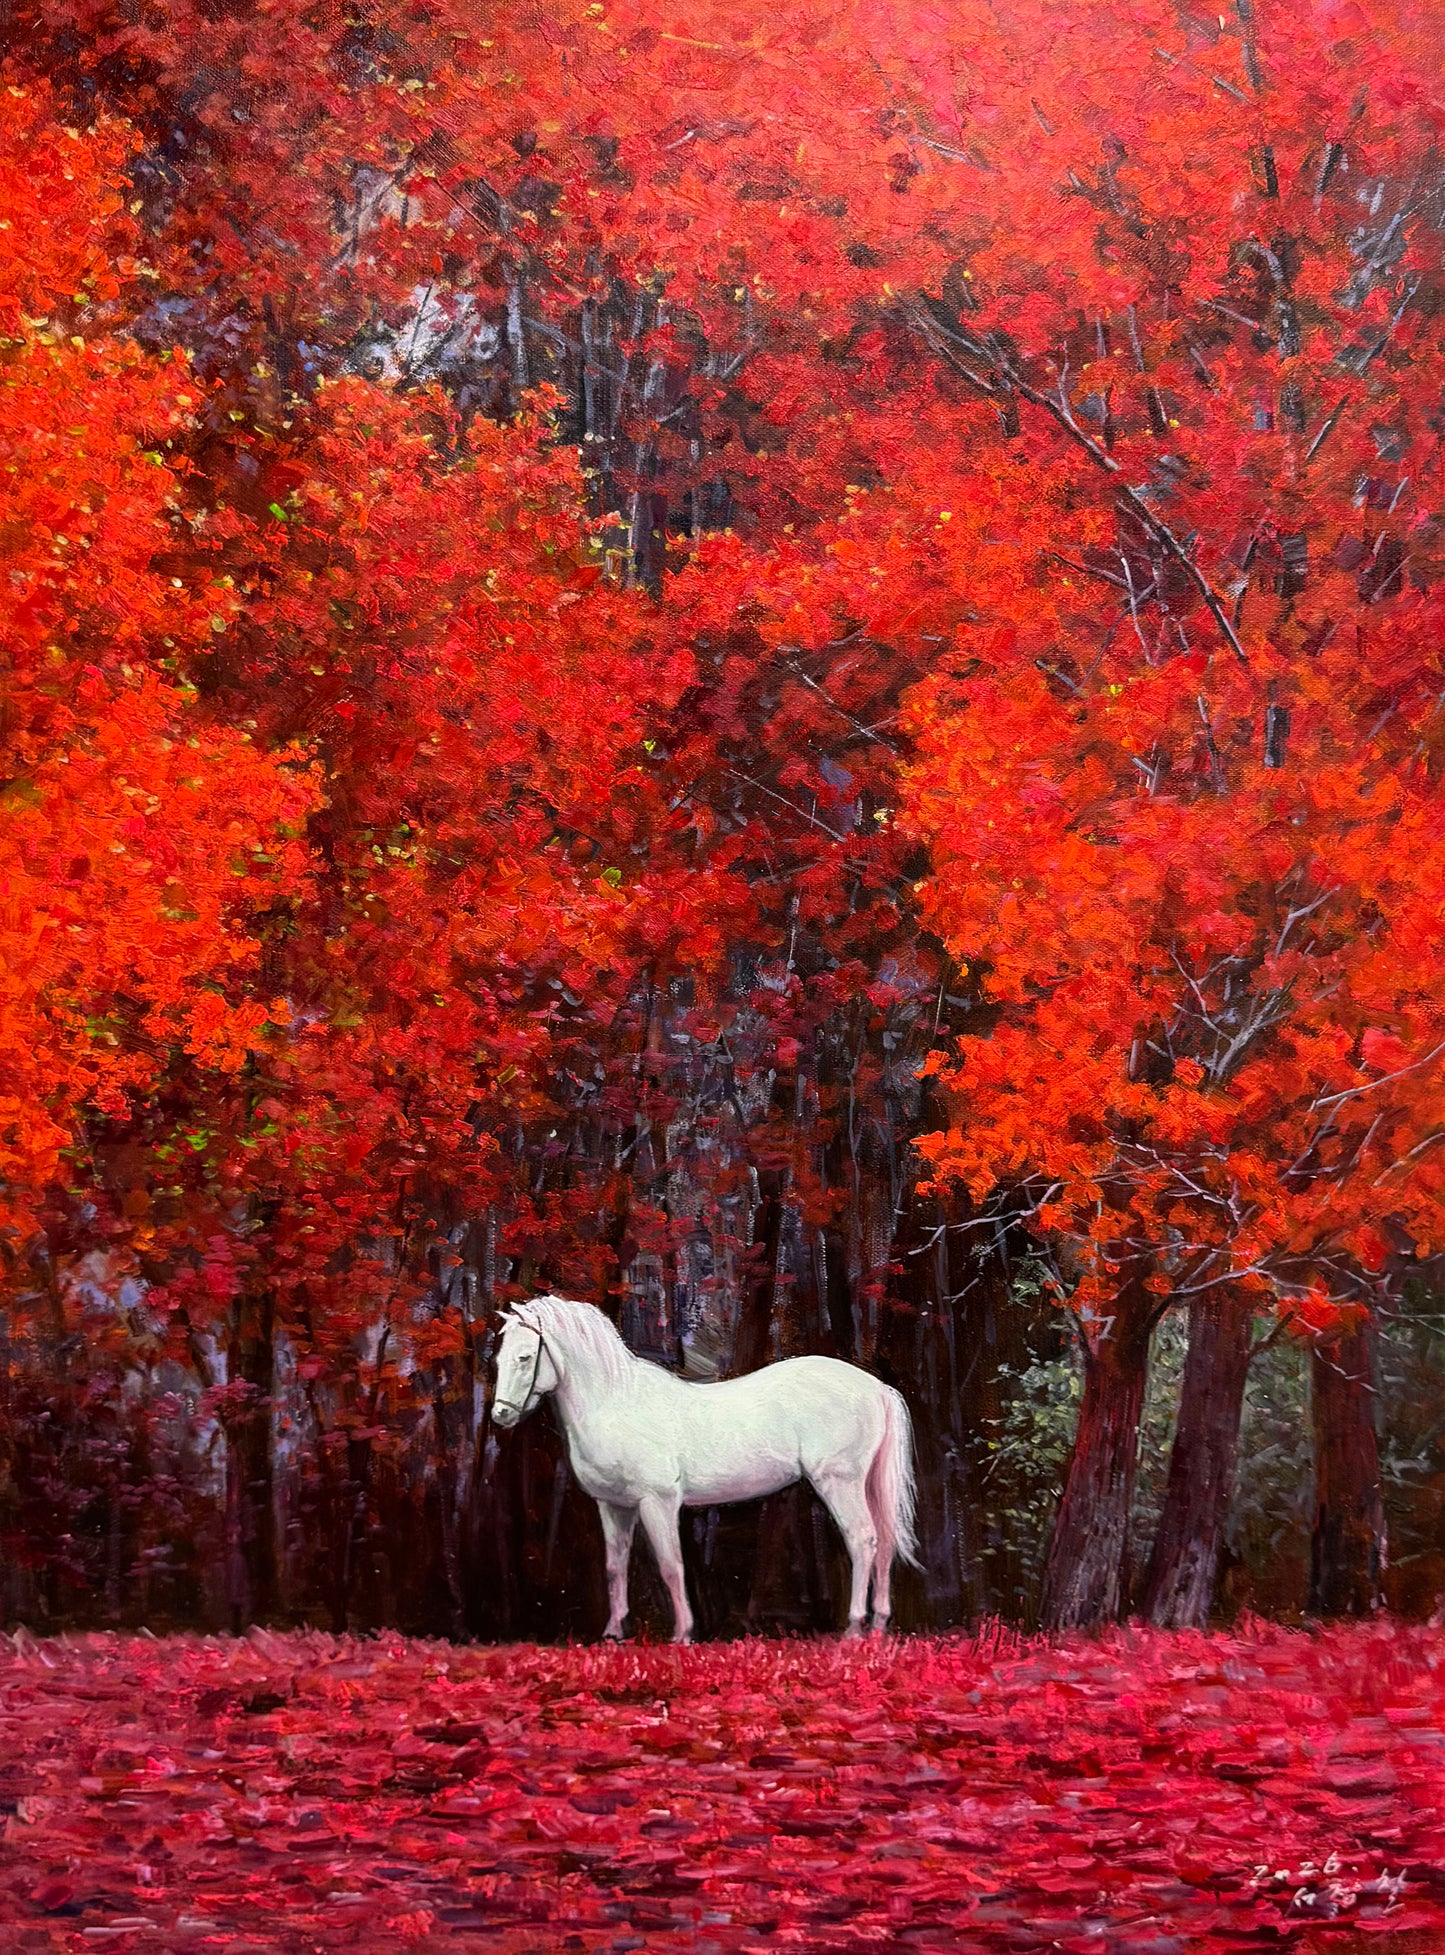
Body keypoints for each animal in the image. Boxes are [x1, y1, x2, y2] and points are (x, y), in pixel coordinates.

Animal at [490, 1294, 918, 1642]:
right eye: (498, 1358)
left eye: (524, 1357)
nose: (500, 1416)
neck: (617, 1404)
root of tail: (877, 1388)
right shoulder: (614, 1506)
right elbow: (615, 1566)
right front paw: (613, 1633)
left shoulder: (657, 1503)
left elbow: (671, 1566)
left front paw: (683, 1634)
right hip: (866, 1484)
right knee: (883, 1540)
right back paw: (878, 1626)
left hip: (839, 1482)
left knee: (862, 1539)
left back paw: (853, 1628)